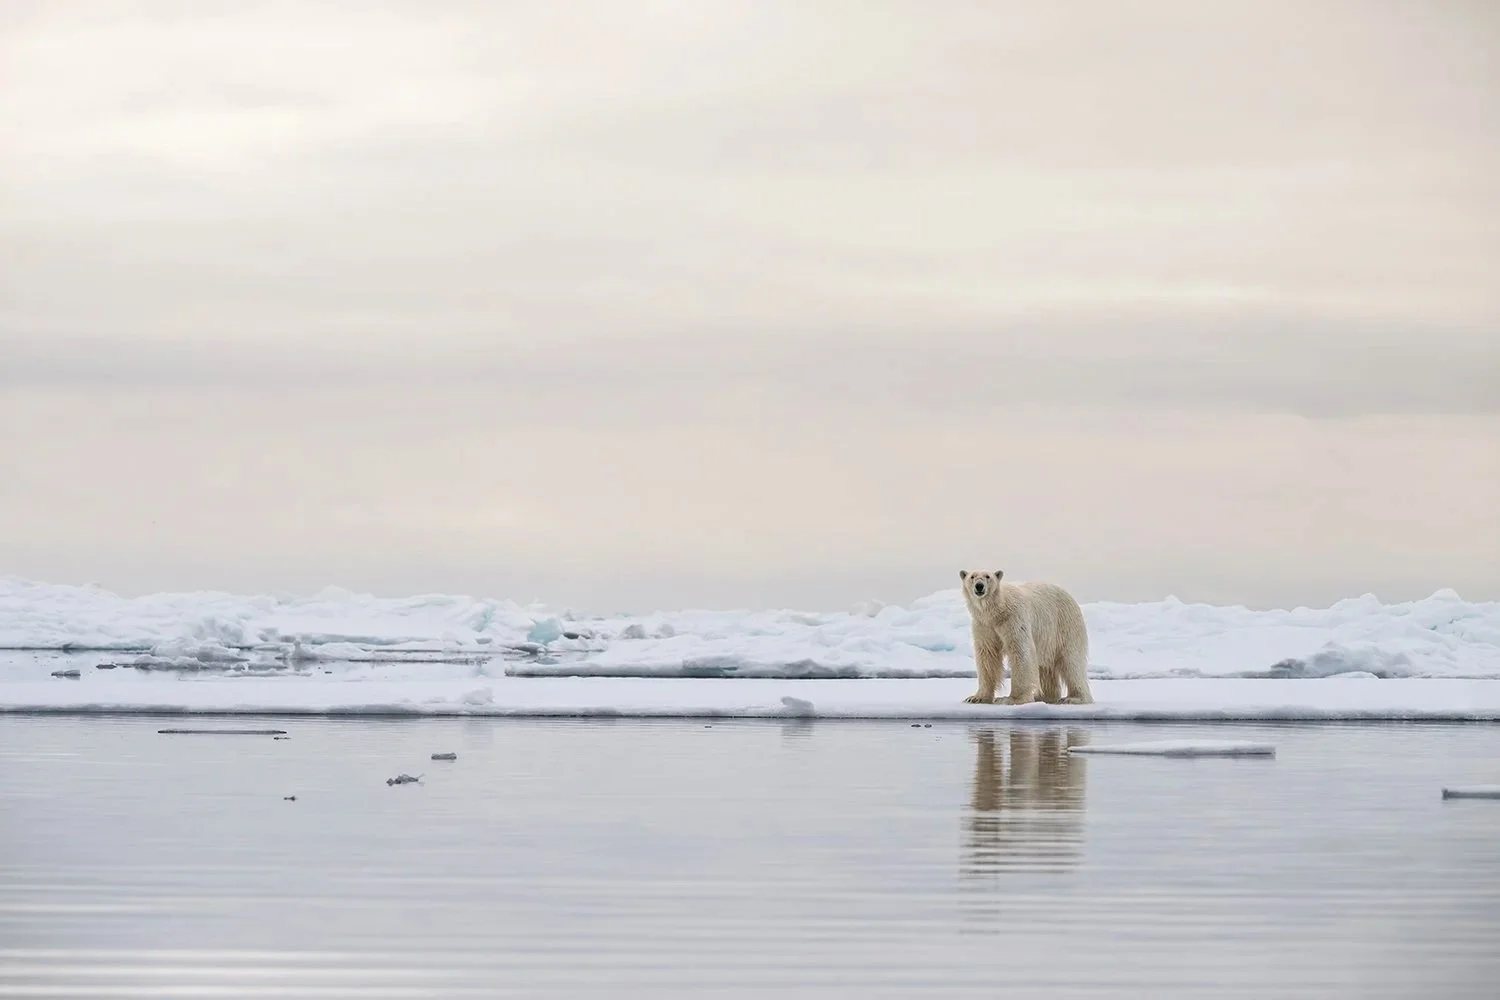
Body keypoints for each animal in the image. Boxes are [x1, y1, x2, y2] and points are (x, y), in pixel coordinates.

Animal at [959, 570, 1093, 705]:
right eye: (972, 576)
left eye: (988, 576)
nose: (979, 586)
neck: (997, 612)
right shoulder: (984, 625)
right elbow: (987, 655)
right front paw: (976, 698)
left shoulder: (1013, 618)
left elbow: (1020, 652)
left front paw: (1011, 699)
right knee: (1046, 667)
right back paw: (1044, 696)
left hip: (1065, 625)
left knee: (1071, 661)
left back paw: (1074, 698)